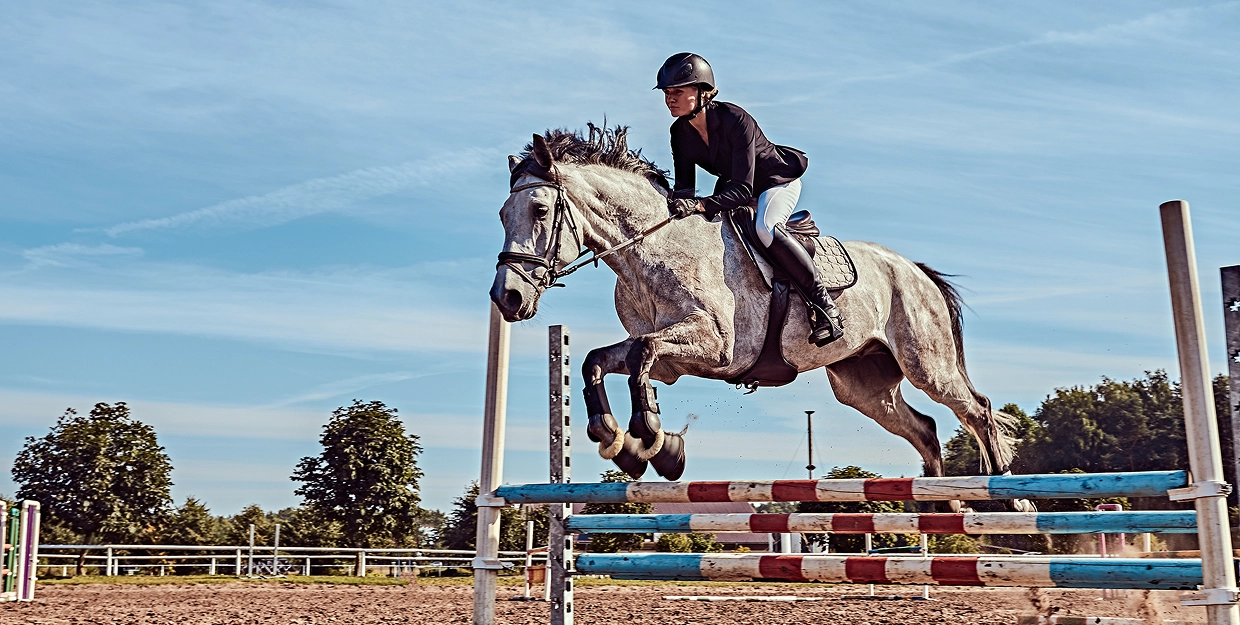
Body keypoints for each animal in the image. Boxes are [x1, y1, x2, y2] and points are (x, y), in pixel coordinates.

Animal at [490, 125, 1028, 512]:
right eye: (501, 214)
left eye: (540, 210)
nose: (507, 298)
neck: (653, 248)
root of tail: (915, 270)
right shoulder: (672, 359)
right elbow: (597, 361)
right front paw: (616, 438)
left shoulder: (718, 347)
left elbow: (641, 356)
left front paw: (653, 440)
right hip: (862, 385)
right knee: (925, 428)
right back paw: (943, 506)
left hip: (927, 363)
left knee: (976, 410)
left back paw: (1011, 498)